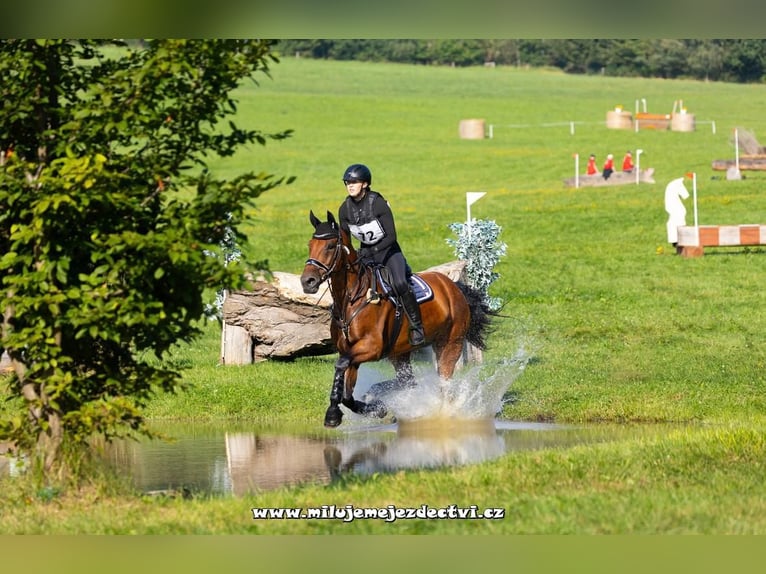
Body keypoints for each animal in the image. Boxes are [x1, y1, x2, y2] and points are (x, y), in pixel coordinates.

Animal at [300, 212, 492, 428]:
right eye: (310, 245)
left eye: (331, 246)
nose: (307, 282)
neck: (351, 299)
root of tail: (454, 287)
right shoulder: (351, 352)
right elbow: (347, 393)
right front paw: (375, 408)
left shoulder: (372, 347)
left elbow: (340, 365)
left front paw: (333, 413)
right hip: (399, 353)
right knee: (409, 381)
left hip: (451, 343)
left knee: (443, 382)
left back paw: (441, 415)